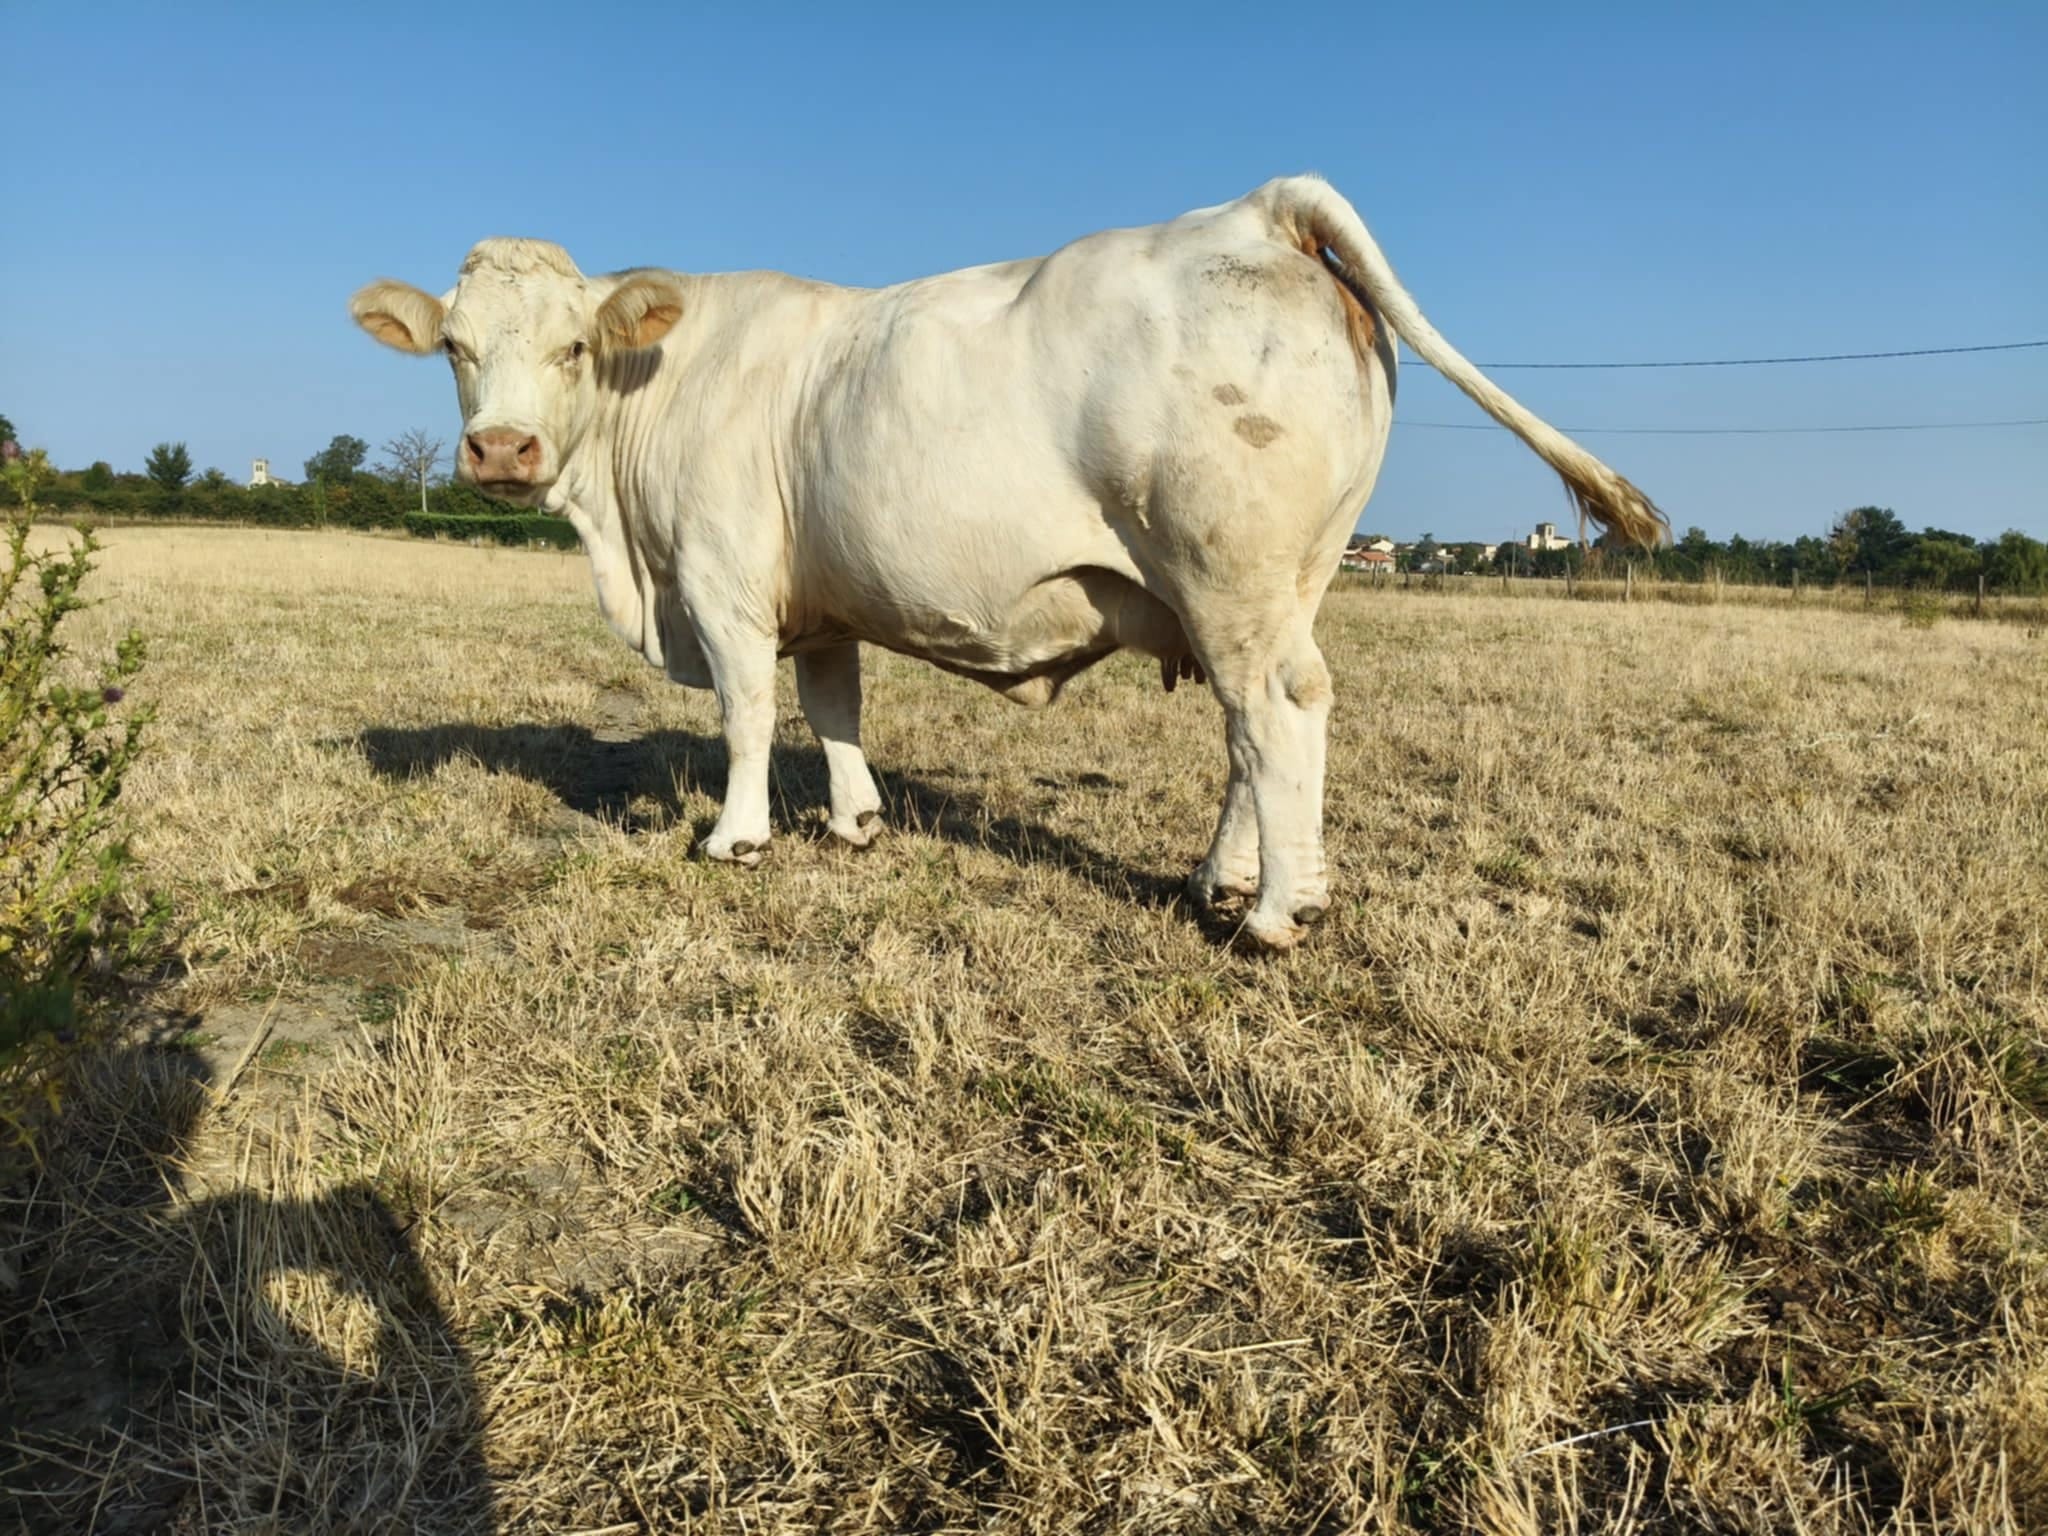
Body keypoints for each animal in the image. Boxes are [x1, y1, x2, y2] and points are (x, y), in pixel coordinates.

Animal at [351, 175, 1664, 950]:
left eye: (571, 347)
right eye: (455, 348)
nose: (501, 449)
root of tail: (1254, 211)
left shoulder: (721, 585)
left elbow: (745, 713)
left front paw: (736, 838)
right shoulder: (820, 597)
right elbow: (831, 705)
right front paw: (855, 822)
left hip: (1227, 571)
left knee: (1277, 713)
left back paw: (1275, 912)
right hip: (1280, 580)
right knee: (1254, 734)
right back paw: (1218, 878)